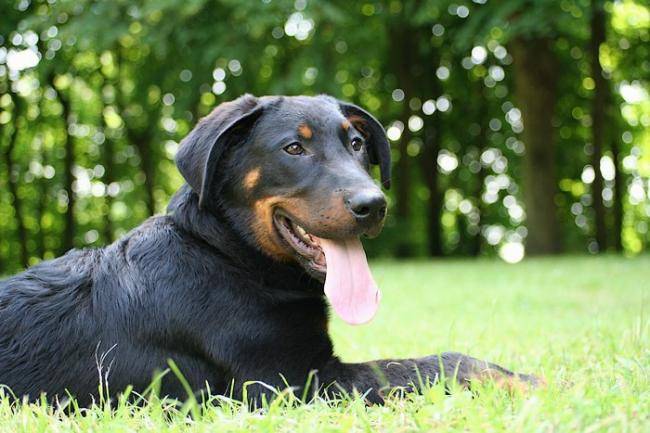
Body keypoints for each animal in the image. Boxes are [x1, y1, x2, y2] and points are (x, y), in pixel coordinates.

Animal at [0, 93, 536, 404]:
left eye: (357, 144)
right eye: (293, 149)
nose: (374, 204)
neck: (230, 257)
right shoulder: (295, 382)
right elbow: (434, 363)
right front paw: (527, 382)